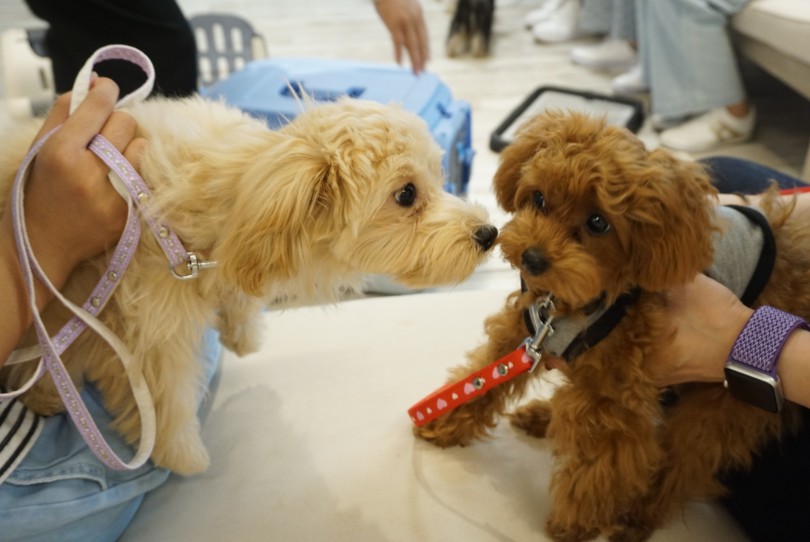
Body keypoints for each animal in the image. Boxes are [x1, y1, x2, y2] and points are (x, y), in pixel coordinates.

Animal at [1, 98, 498, 476]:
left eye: (440, 177)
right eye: (407, 195)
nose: (489, 233)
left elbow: (240, 292)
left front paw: (243, 335)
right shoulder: (157, 321)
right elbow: (168, 394)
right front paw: (182, 456)